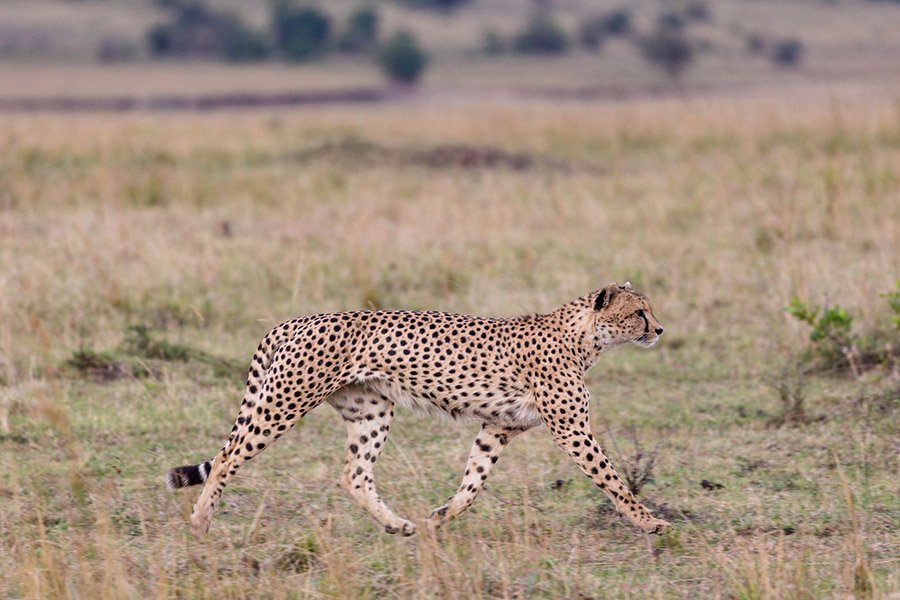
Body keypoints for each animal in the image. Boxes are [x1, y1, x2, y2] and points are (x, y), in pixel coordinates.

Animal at [166, 281, 671, 537]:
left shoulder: (498, 427)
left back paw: (398, 524)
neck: (584, 336)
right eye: (639, 312)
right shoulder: (571, 429)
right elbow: (612, 479)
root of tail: (297, 319)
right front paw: (650, 521)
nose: (660, 329)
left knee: (354, 475)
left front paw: (440, 517)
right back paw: (201, 520)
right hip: (284, 401)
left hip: (371, 410)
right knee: (228, 456)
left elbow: (474, 481)